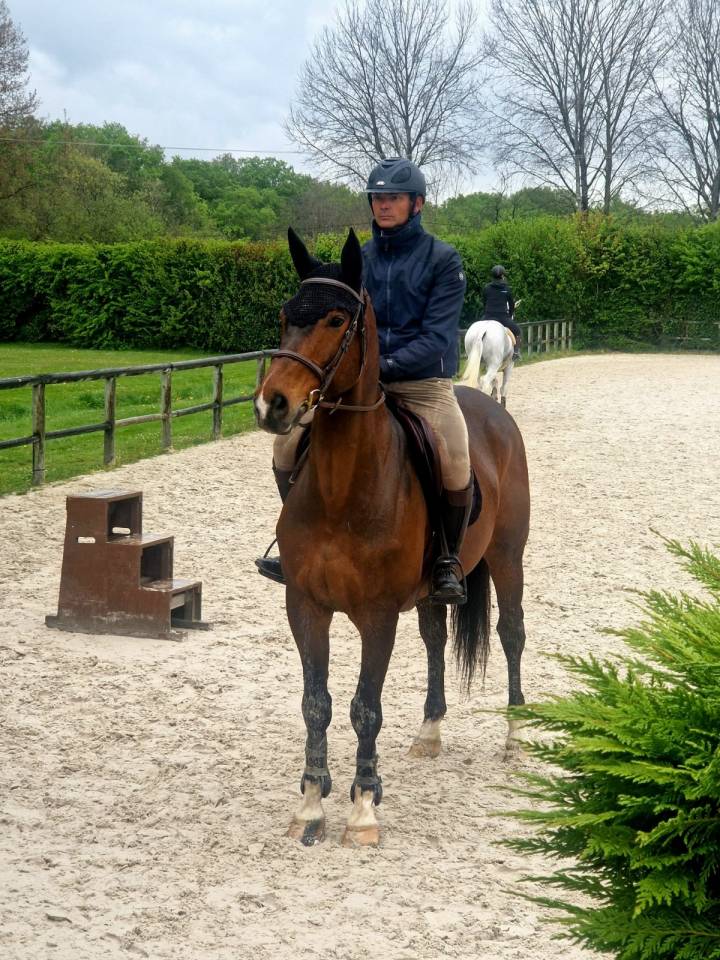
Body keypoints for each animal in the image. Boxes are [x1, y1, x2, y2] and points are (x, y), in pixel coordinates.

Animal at [254, 228, 530, 848]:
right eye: (285, 315)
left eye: (337, 319)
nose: (272, 404)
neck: (342, 490)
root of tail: (490, 411)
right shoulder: (304, 605)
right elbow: (316, 703)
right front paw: (312, 802)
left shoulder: (377, 615)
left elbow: (365, 707)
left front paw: (363, 807)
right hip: (432, 589)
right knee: (434, 638)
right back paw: (429, 731)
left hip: (508, 556)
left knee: (511, 633)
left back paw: (516, 736)